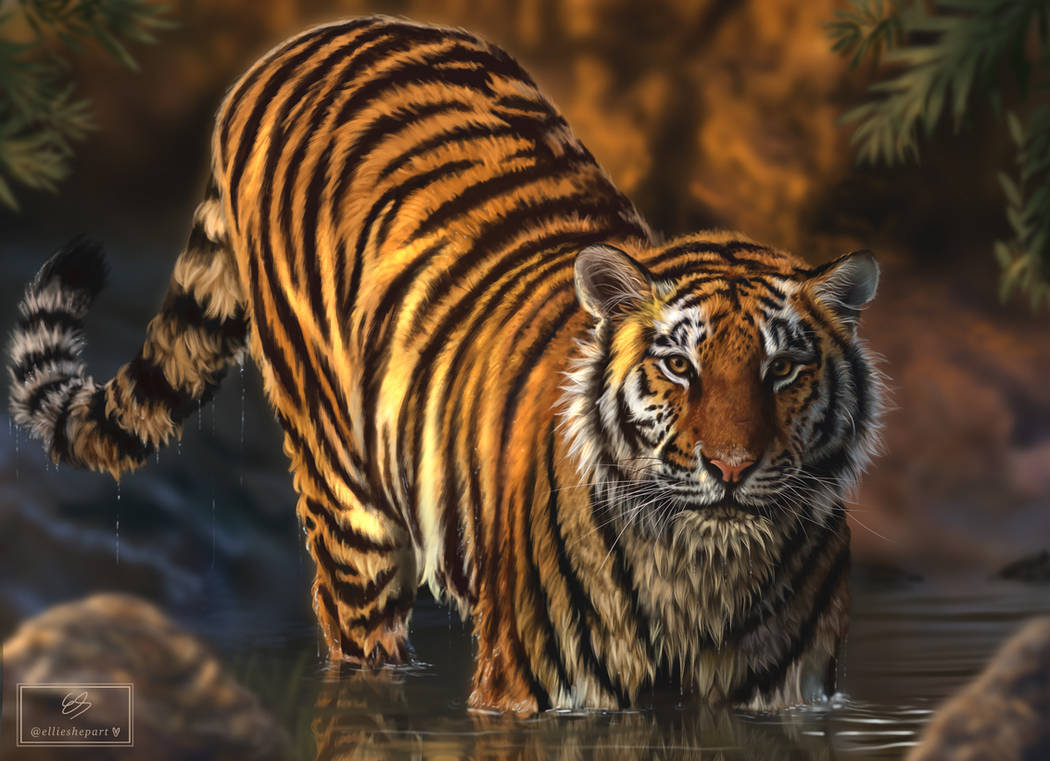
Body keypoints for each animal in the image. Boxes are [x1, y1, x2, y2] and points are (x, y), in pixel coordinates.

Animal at [7, 16, 883, 712]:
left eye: (782, 369)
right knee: (356, 636)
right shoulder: (536, 689)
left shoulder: (792, 690)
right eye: (677, 365)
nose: (731, 467)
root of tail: (299, 43)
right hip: (347, 505)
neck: (704, 573)